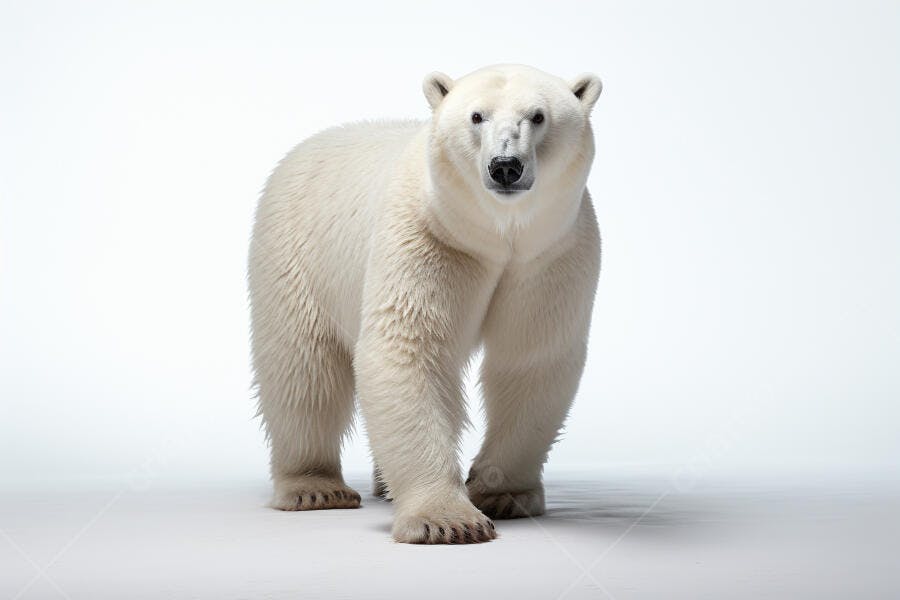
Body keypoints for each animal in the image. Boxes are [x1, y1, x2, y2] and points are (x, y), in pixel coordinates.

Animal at [248, 64, 602, 544]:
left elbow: (530, 359)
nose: (505, 166)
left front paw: (504, 494)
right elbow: (408, 348)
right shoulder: (429, 236)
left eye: (538, 116)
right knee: (303, 370)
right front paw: (449, 520)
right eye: (476, 116)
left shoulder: (549, 254)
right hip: (296, 253)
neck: (498, 233)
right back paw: (314, 488)